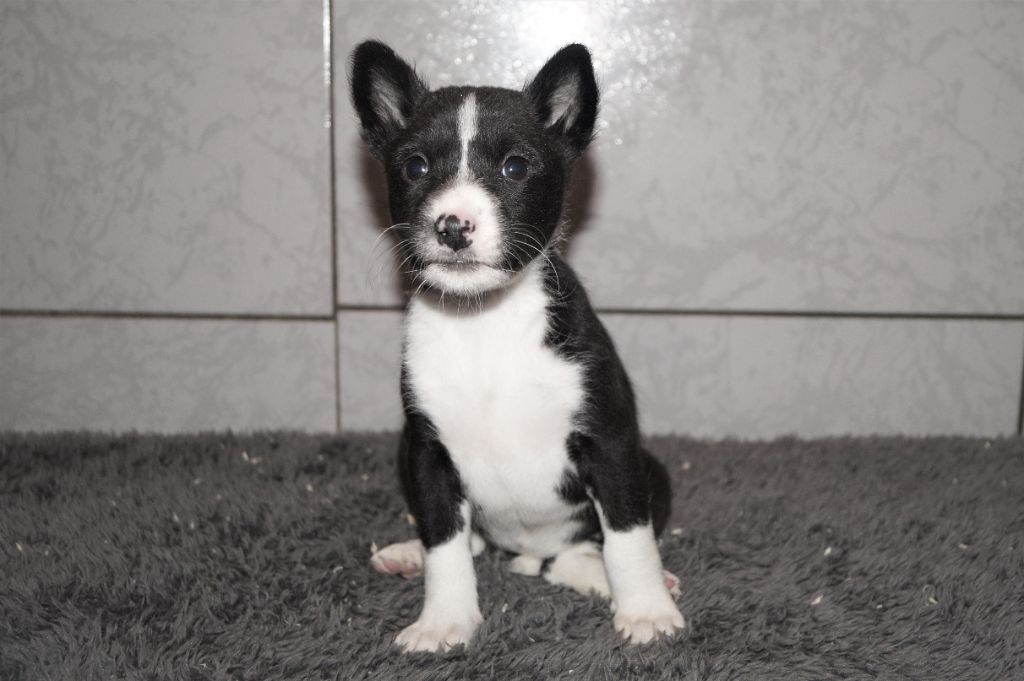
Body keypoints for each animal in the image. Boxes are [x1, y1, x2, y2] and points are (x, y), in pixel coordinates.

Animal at [349, 40, 685, 653]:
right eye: (416, 167)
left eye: (515, 167)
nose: (453, 226)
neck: (485, 321)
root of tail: (528, 550)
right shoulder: (428, 453)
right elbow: (445, 543)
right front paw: (445, 619)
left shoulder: (610, 443)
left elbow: (628, 537)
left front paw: (647, 610)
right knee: (474, 539)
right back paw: (409, 554)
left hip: (648, 469)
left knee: (577, 552)